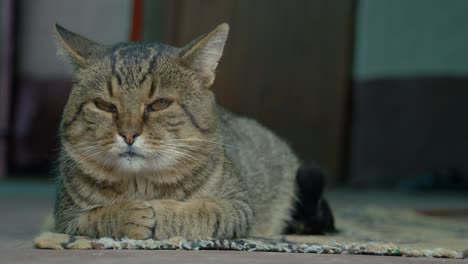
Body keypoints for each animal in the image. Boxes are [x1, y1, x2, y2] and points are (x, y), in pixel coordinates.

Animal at [53, 22, 334, 240]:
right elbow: (94, 217)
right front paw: (126, 215)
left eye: (160, 104)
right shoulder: (64, 217)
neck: (140, 186)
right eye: (104, 106)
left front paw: (162, 213)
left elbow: (202, 212)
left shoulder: (238, 207)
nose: (129, 134)